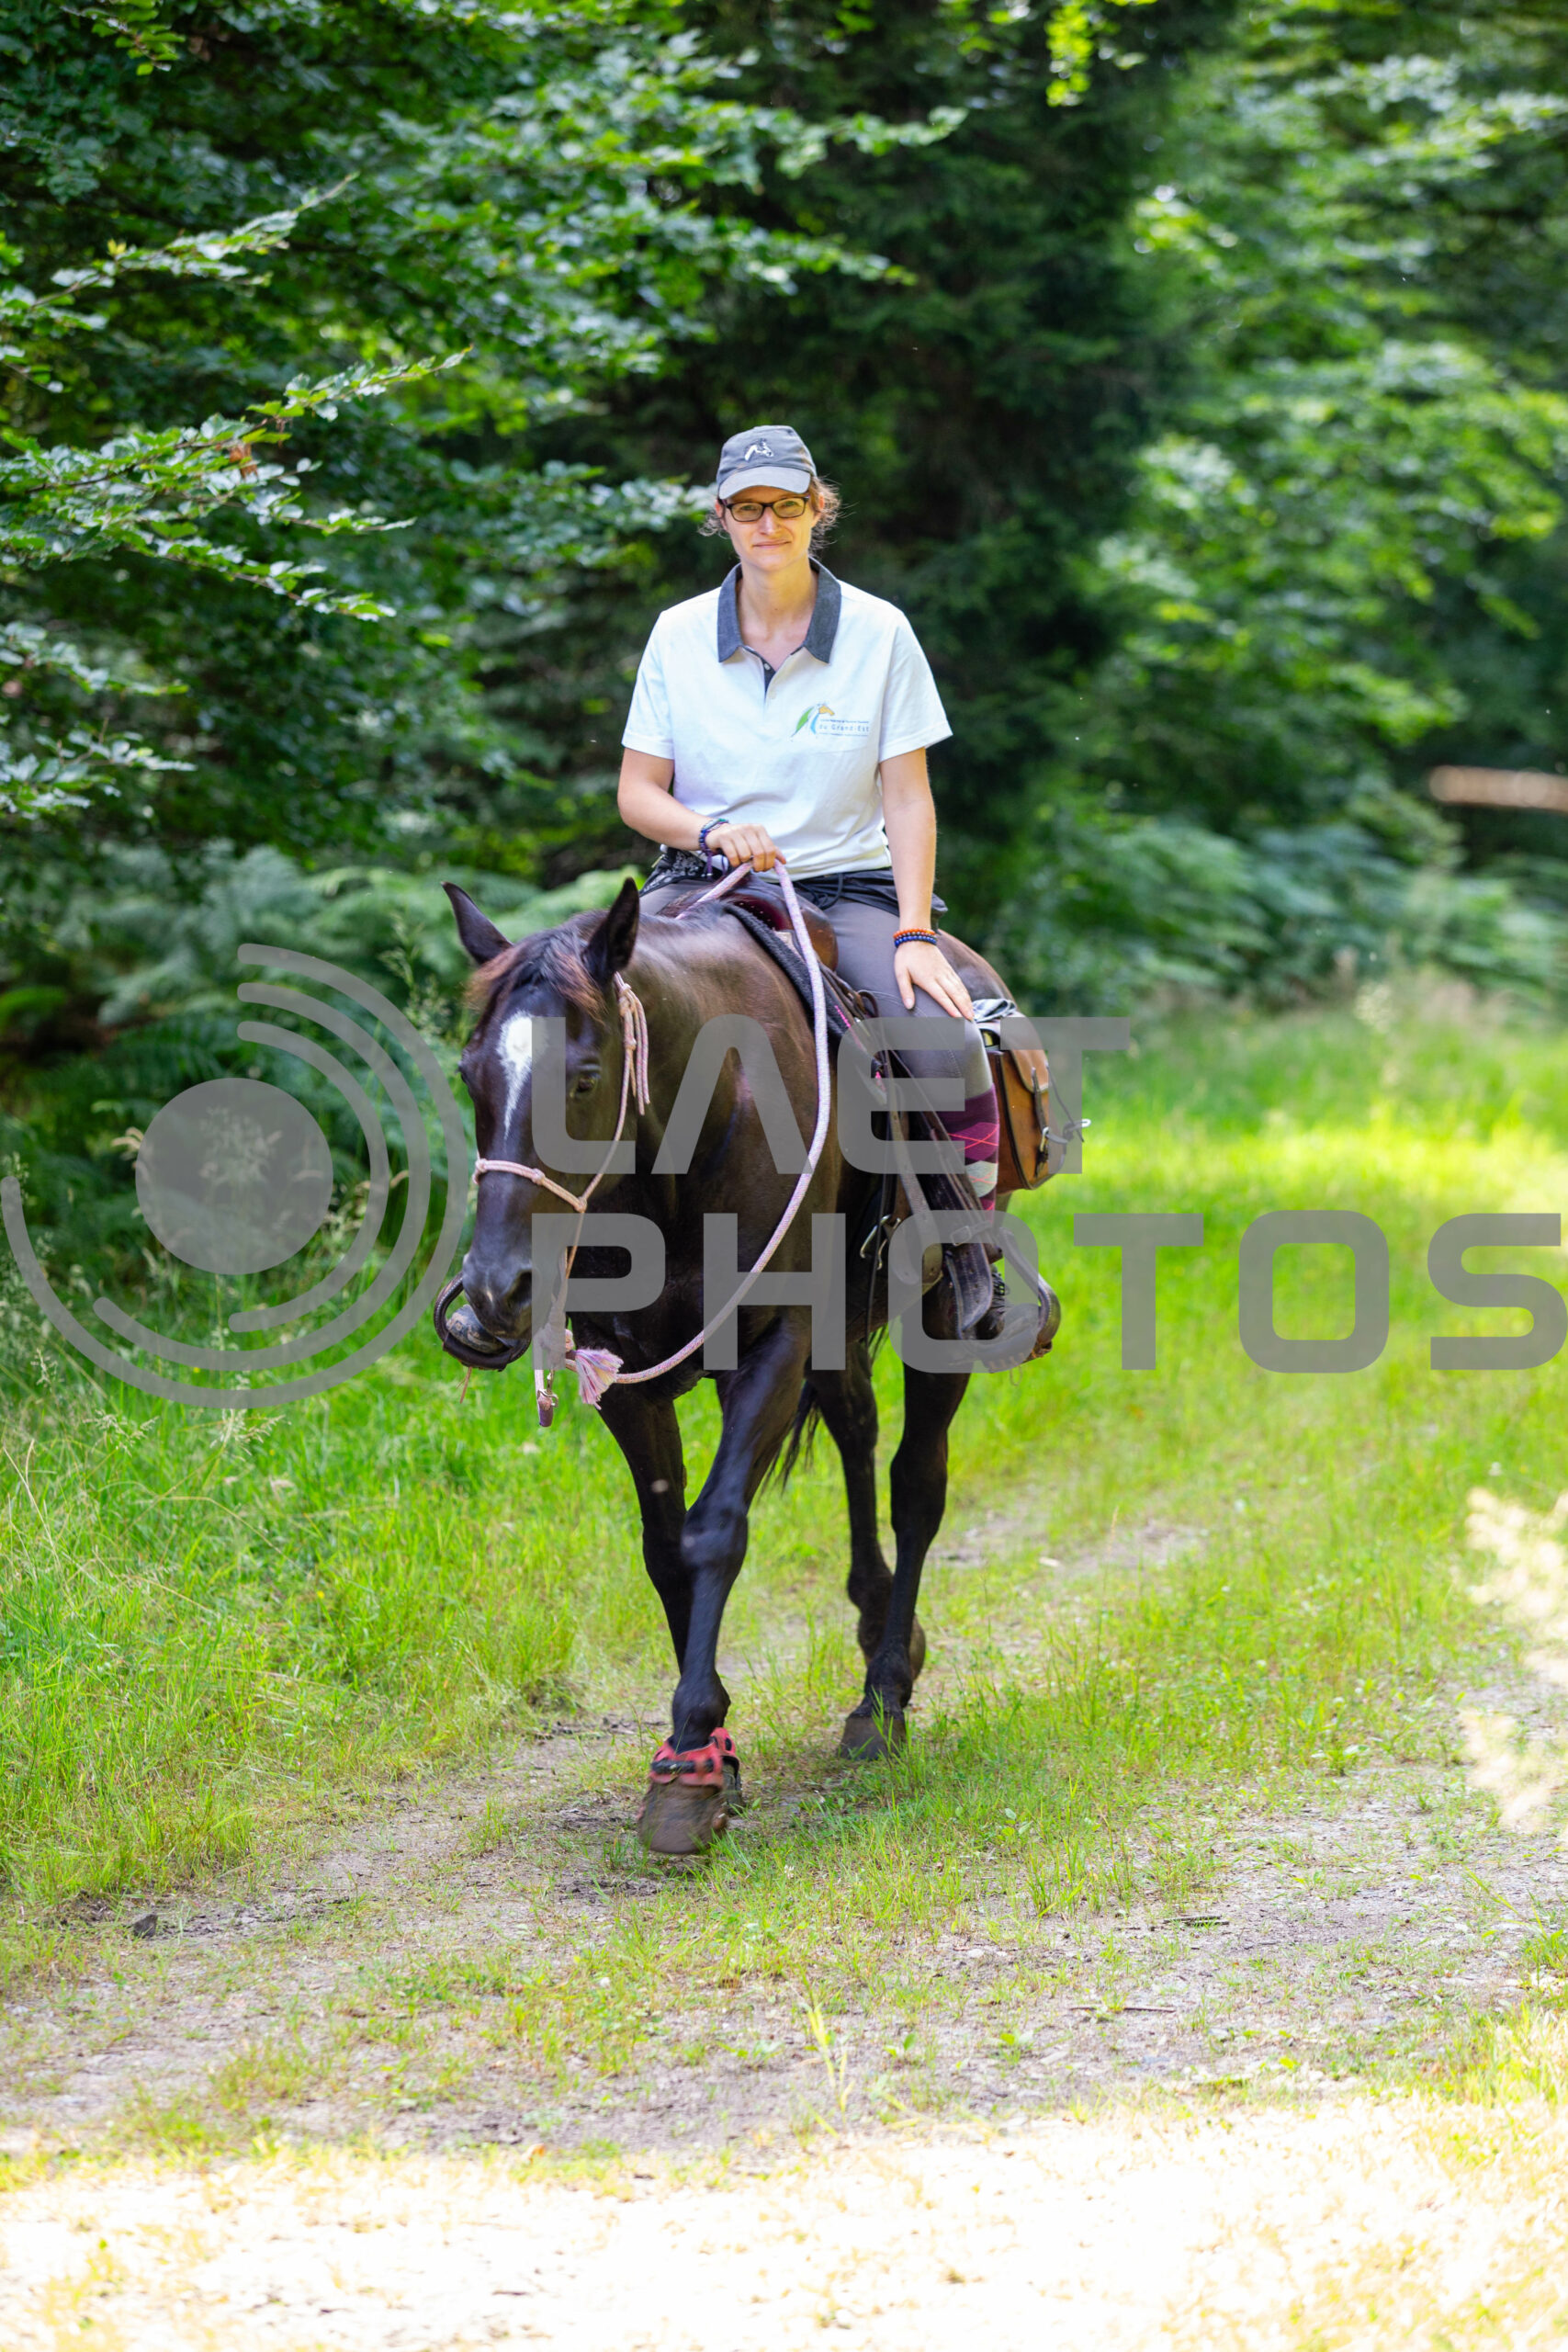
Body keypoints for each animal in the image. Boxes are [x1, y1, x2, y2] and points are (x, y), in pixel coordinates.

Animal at [439, 873, 1047, 1854]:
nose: (498, 1289)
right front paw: (709, 1752)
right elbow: (663, 1549)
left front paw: (690, 1755)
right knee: (856, 1431)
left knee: (915, 1484)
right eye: (470, 1076)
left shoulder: (772, 1347)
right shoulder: (626, 1375)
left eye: (584, 1077)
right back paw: (880, 1627)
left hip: (936, 1320)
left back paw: (882, 1698)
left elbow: (716, 1529)